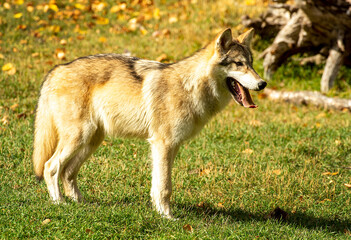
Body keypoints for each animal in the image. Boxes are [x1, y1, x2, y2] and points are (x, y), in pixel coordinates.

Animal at [33, 27, 266, 218]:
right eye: (239, 64)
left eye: (251, 64)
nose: (263, 83)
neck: (190, 87)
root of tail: (56, 69)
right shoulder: (162, 144)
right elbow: (165, 187)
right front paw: (168, 217)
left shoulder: (170, 147)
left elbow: (157, 186)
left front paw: (159, 212)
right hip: (79, 138)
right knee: (50, 167)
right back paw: (59, 204)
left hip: (91, 141)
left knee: (68, 173)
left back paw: (82, 204)